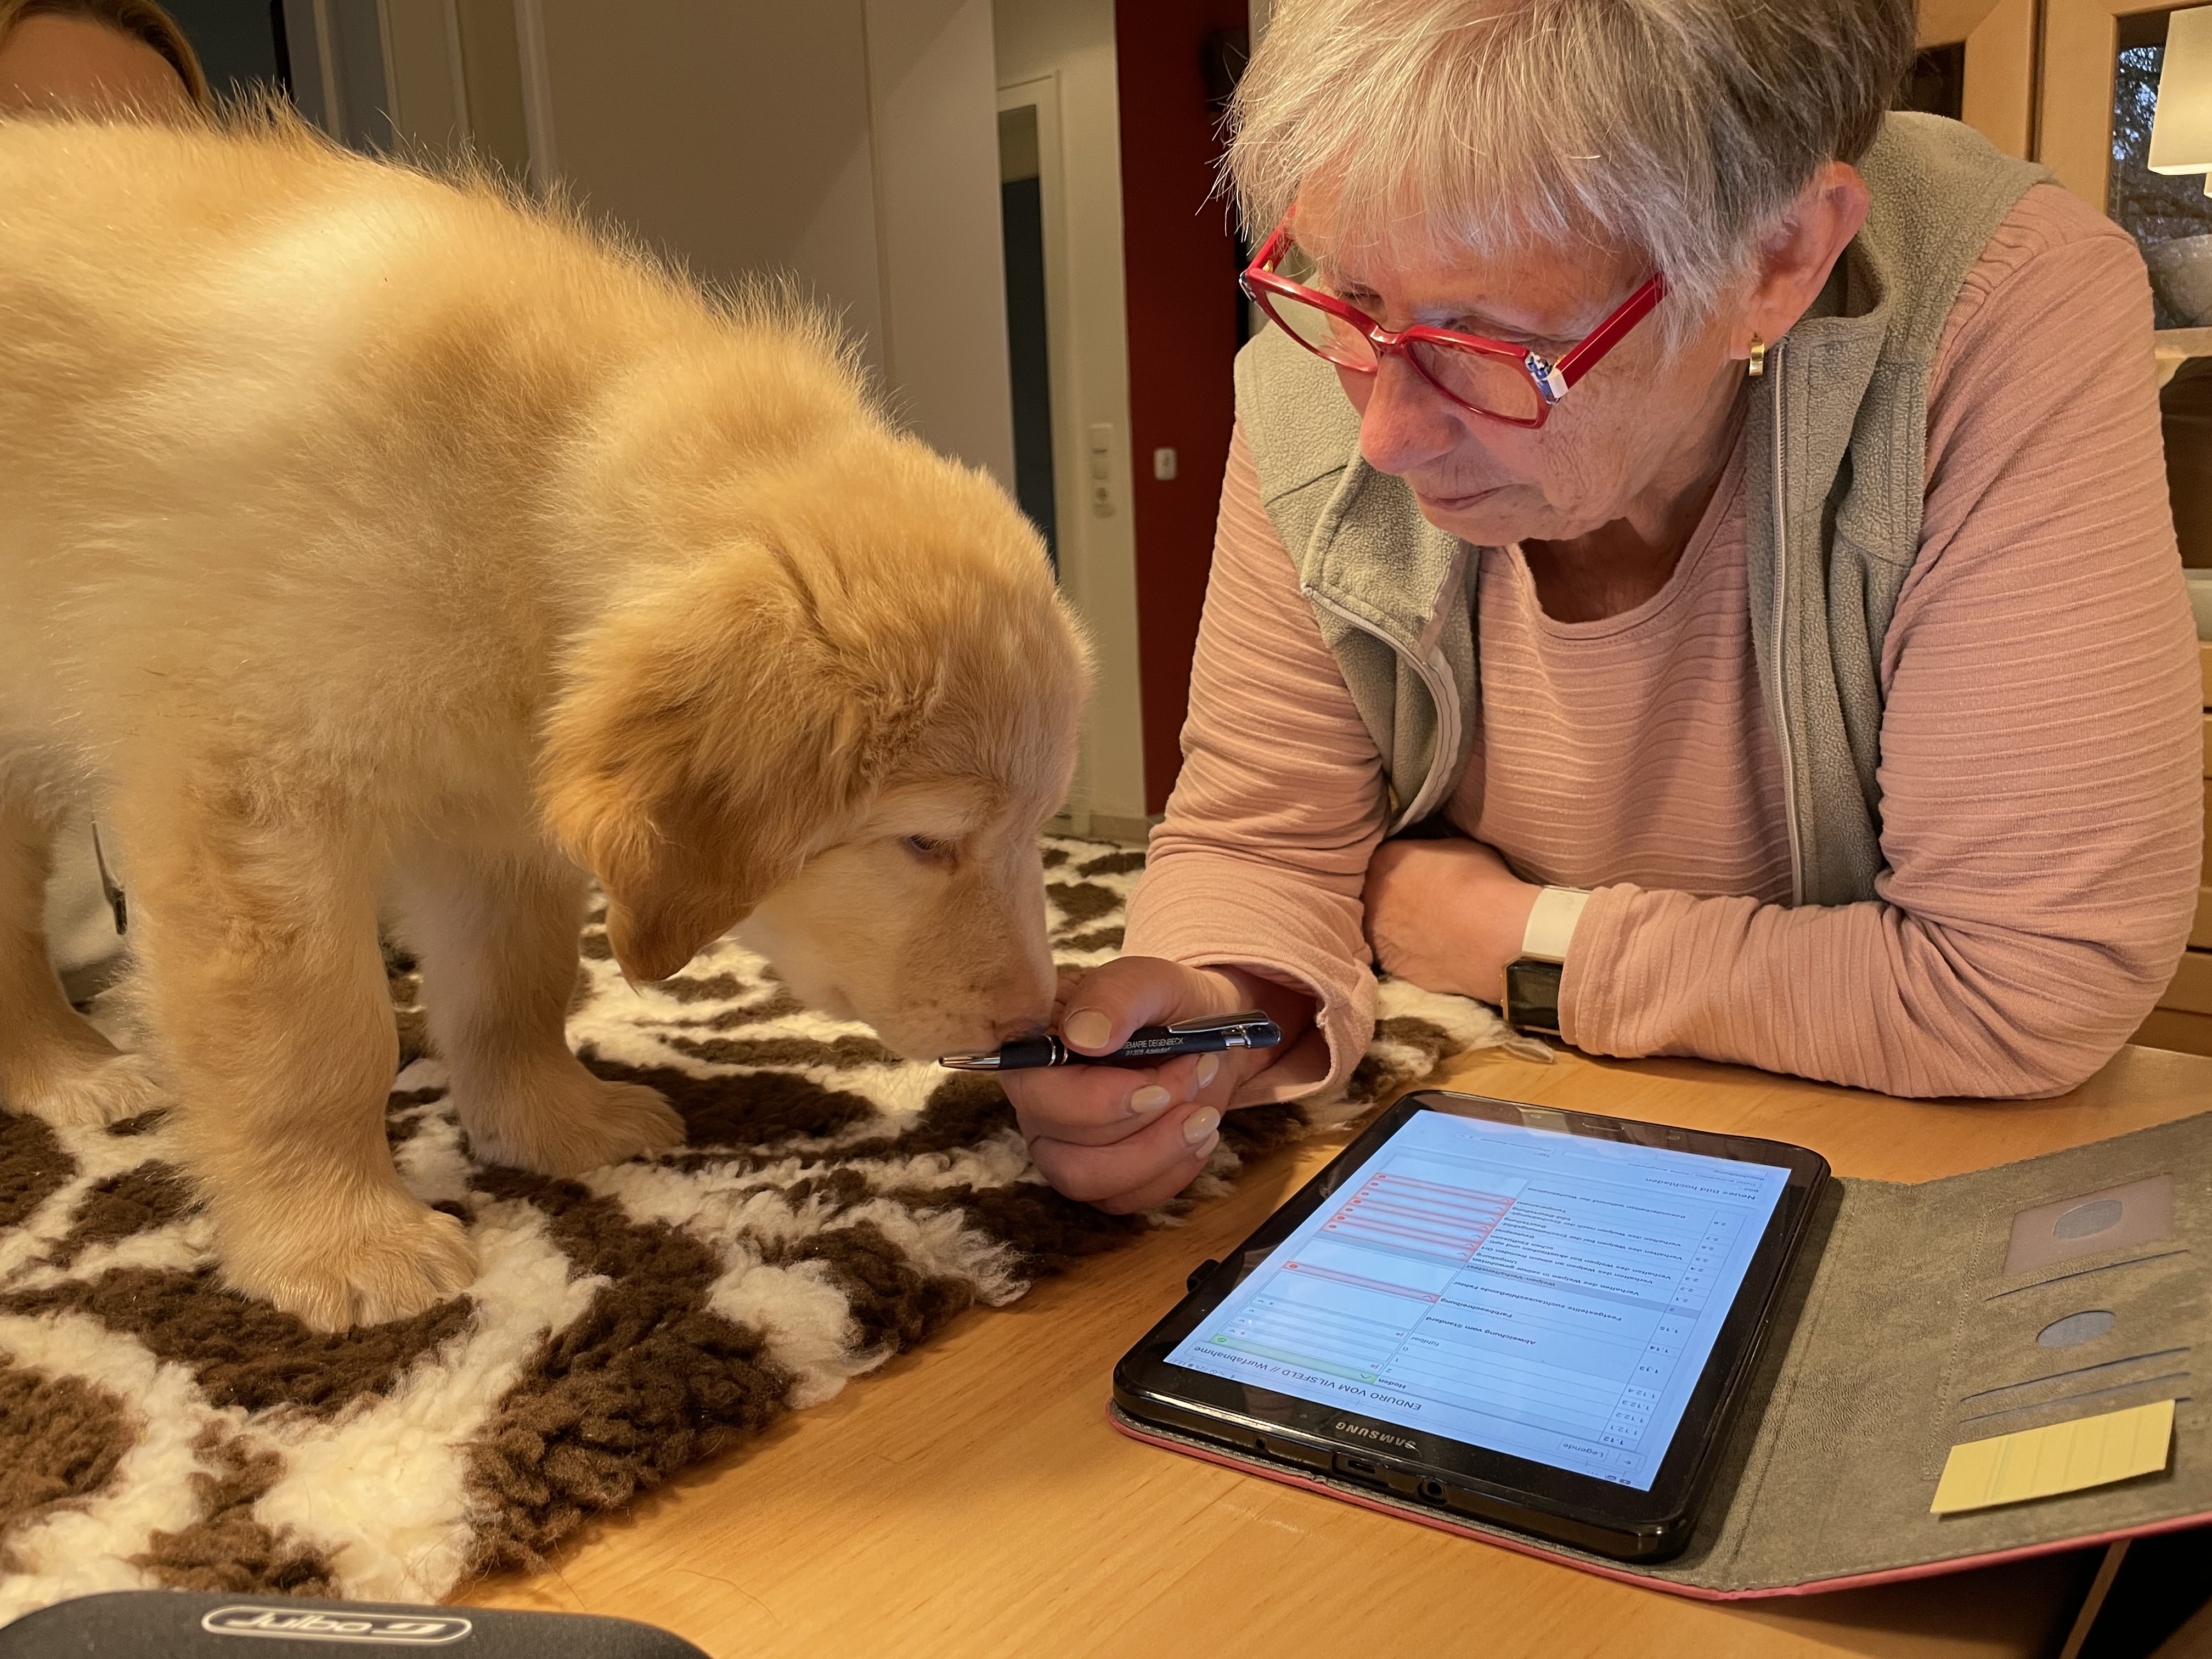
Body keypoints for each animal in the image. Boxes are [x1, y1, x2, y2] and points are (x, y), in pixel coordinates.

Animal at [0, 110, 1089, 1330]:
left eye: (1034, 827)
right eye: (925, 843)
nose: (1031, 1027)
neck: (518, 487)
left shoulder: (495, 820)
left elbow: (512, 984)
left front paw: (551, 1122)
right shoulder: (256, 798)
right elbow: (310, 1033)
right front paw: (339, 1235)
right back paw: (80, 1072)